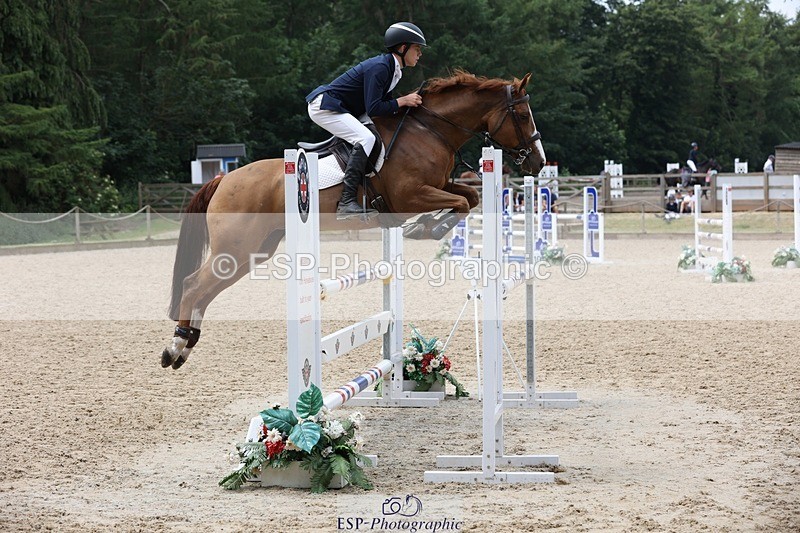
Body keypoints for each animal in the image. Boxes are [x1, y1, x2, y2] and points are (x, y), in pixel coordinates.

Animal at [160, 70, 546, 370]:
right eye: (523, 115)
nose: (538, 162)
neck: (430, 129)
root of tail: (224, 178)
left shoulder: (436, 187)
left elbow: (470, 198)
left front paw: (429, 226)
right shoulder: (411, 195)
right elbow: (462, 202)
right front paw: (426, 227)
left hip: (253, 251)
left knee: (205, 291)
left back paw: (186, 344)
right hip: (236, 249)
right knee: (194, 285)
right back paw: (175, 347)